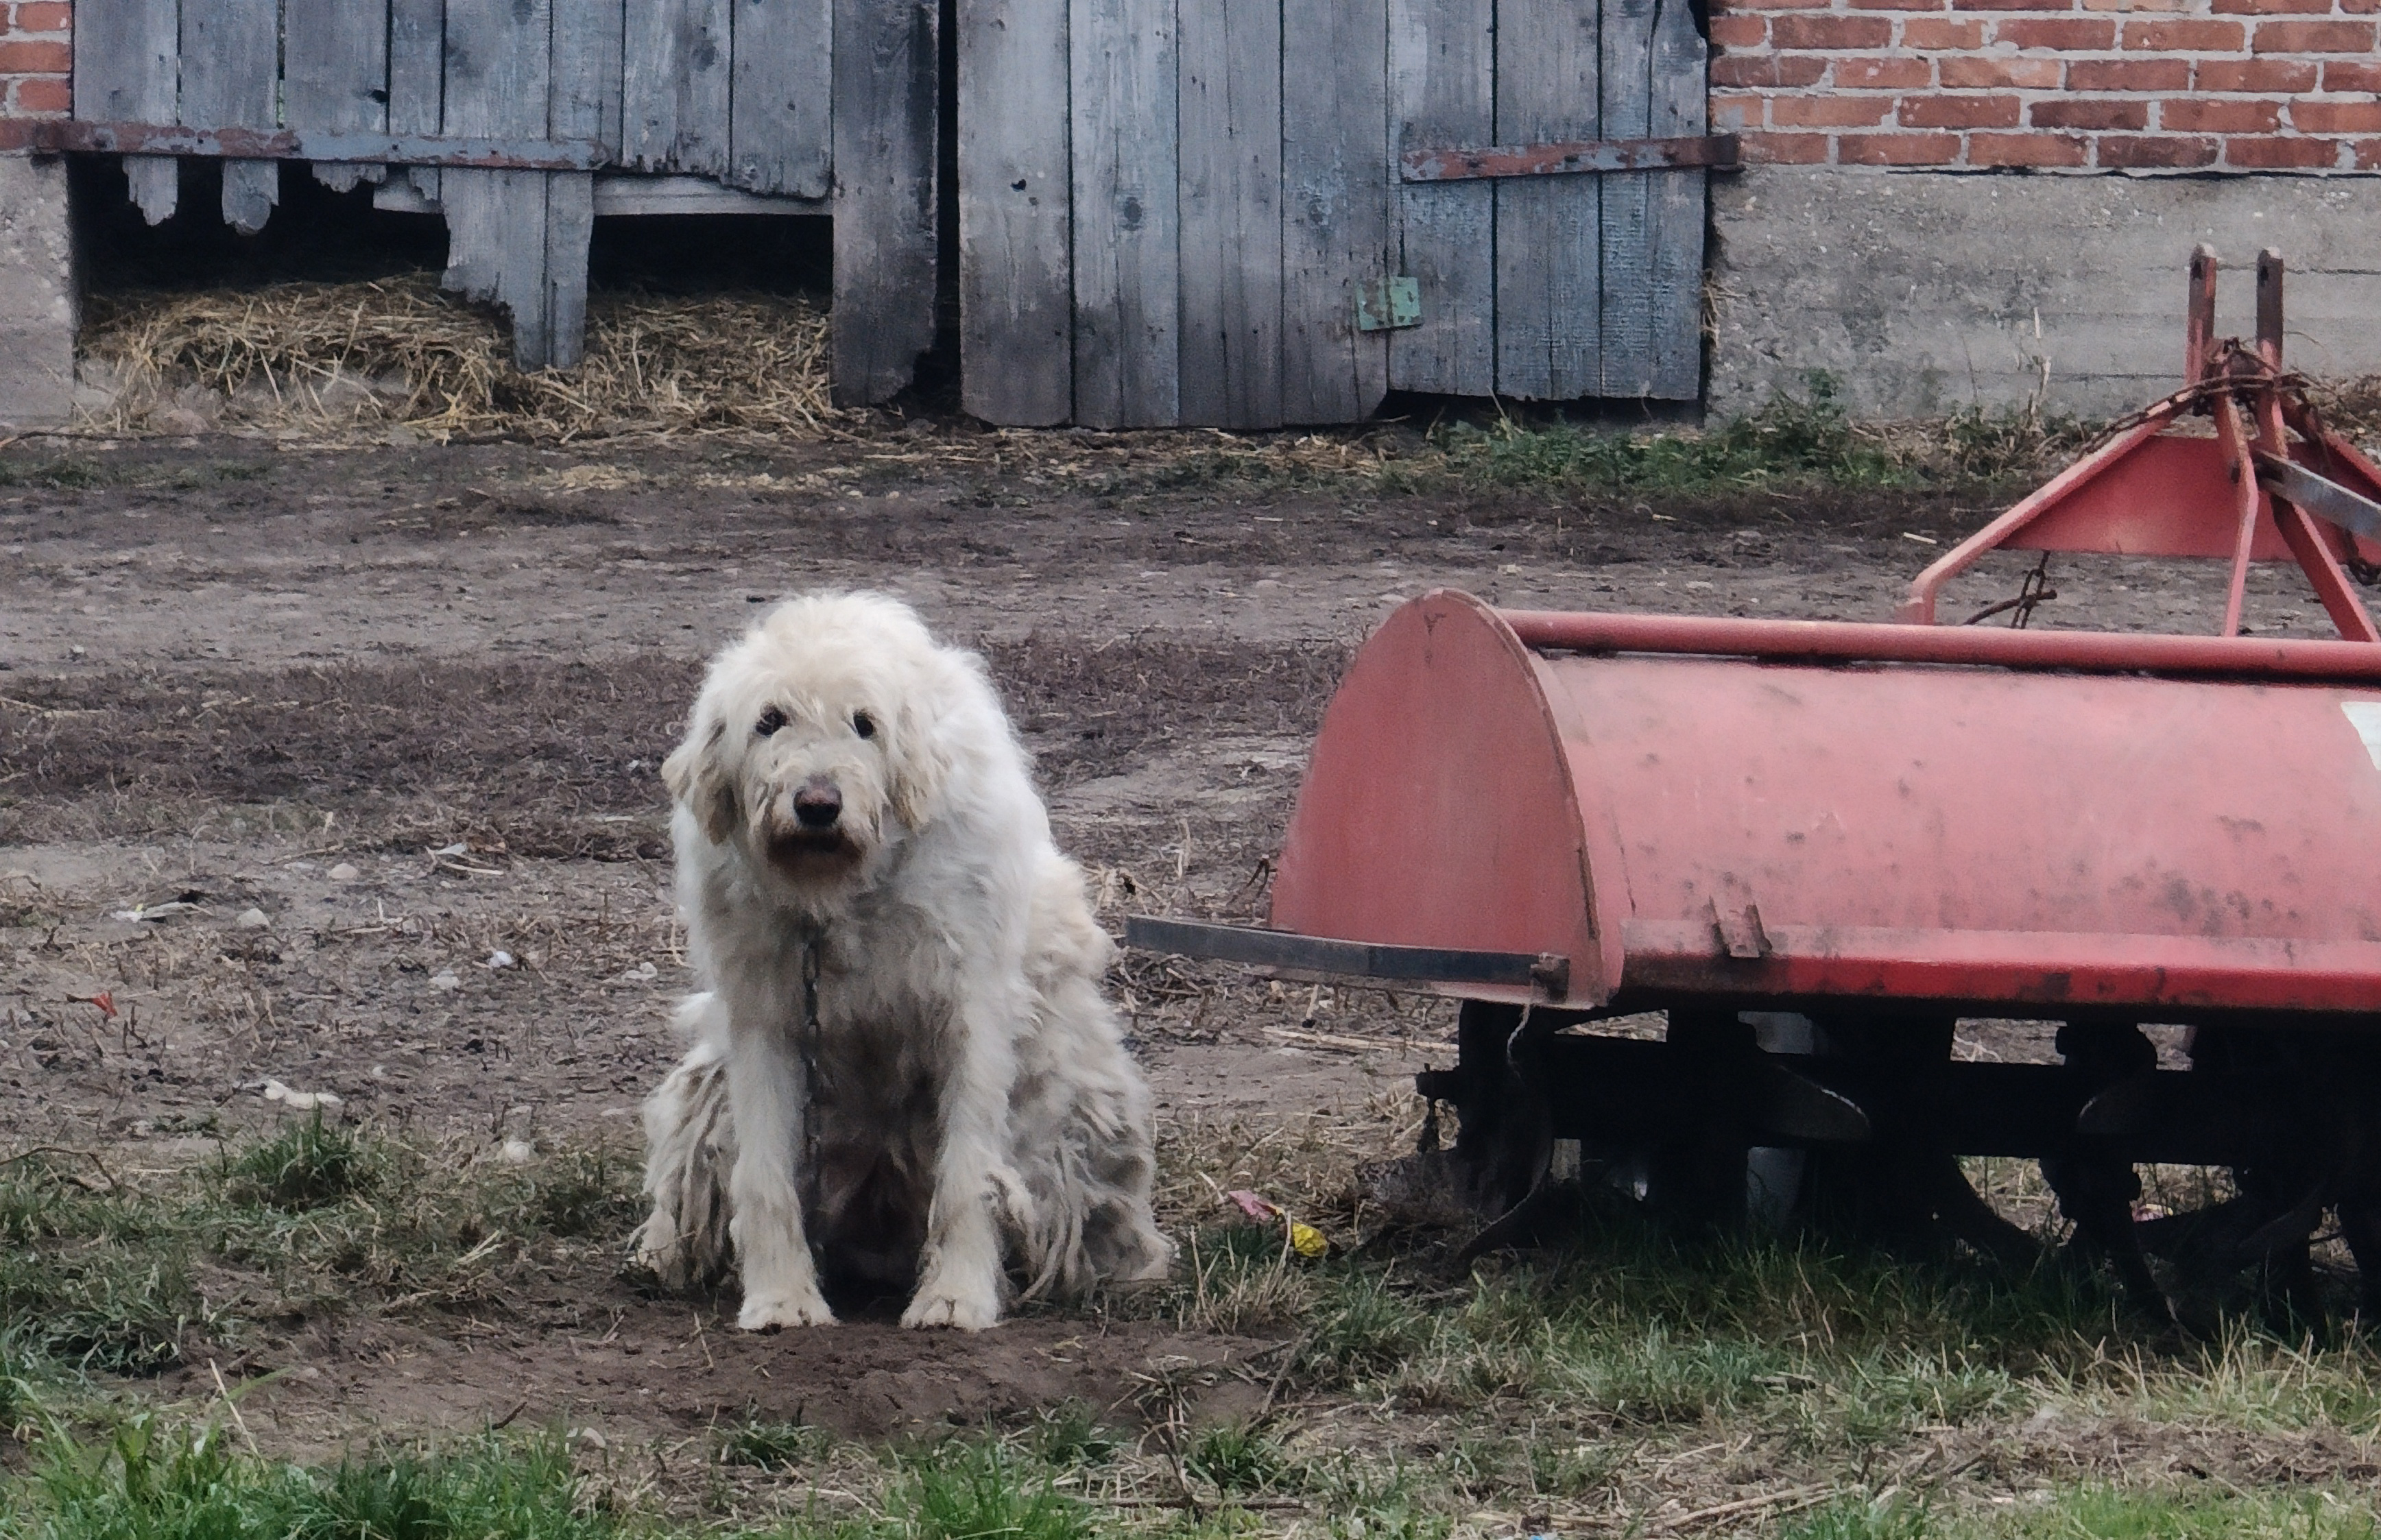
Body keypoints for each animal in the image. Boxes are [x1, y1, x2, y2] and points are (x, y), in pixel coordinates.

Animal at [633, 590, 1171, 1323]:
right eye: (770, 721)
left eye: (865, 725)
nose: (818, 805)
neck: (845, 896)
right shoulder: (763, 1021)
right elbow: (764, 1176)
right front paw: (781, 1298)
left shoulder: (970, 1014)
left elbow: (969, 1174)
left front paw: (957, 1296)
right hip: (712, 1090)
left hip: (1074, 1115)